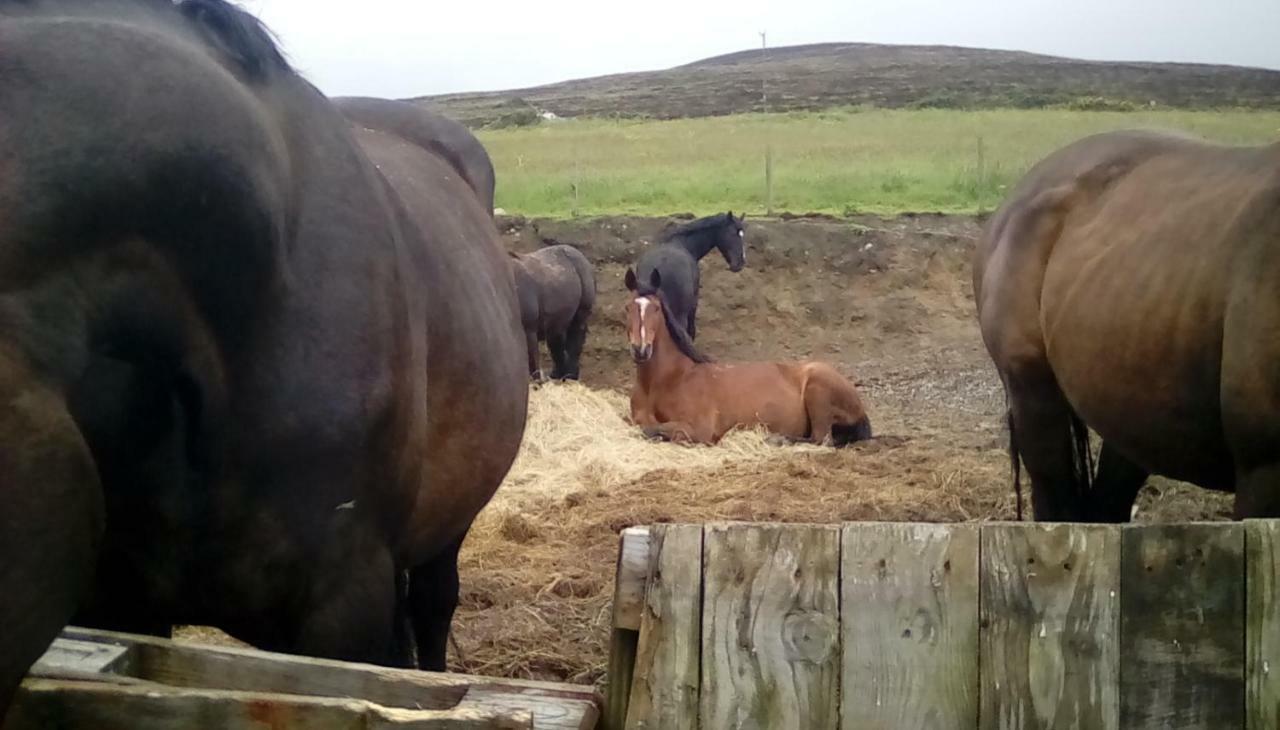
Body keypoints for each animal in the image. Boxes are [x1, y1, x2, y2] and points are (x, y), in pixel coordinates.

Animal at [509, 244, 593, 381]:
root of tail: (584, 257)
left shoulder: (529, 329)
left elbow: (532, 359)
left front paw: (536, 381)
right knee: (556, 336)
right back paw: (557, 376)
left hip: (584, 282)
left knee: (576, 331)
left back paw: (570, 377)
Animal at [619, 267, 870, 443]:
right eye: (627, 307)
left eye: (656, 308)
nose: (641, 350)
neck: (670, 378)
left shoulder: (700, 428)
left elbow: (653, 429)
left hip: (818, 391)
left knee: (820, 439)